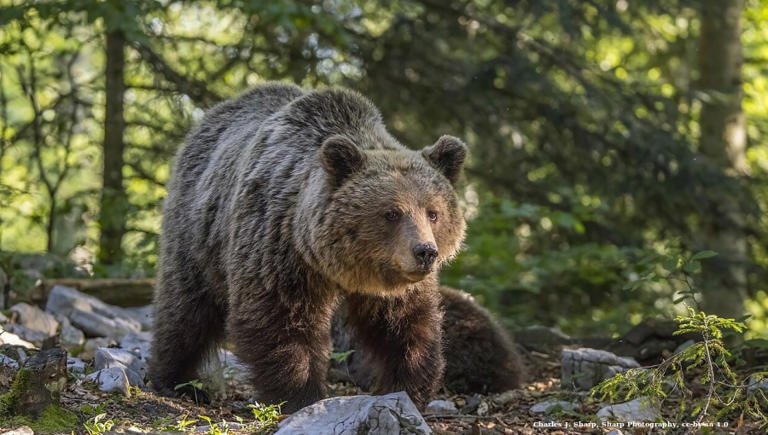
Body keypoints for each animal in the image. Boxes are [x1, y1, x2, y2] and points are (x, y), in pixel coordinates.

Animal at [149, 82, 468, 412]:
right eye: (391, 213)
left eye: (433, 212)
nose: (425, 252)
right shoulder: (278, 248)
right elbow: (280, 320)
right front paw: (300, 394)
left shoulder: (393, 282)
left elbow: (405, 326)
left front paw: (406, 387)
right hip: (198, 231)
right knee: (187, 308)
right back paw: (177, 381)